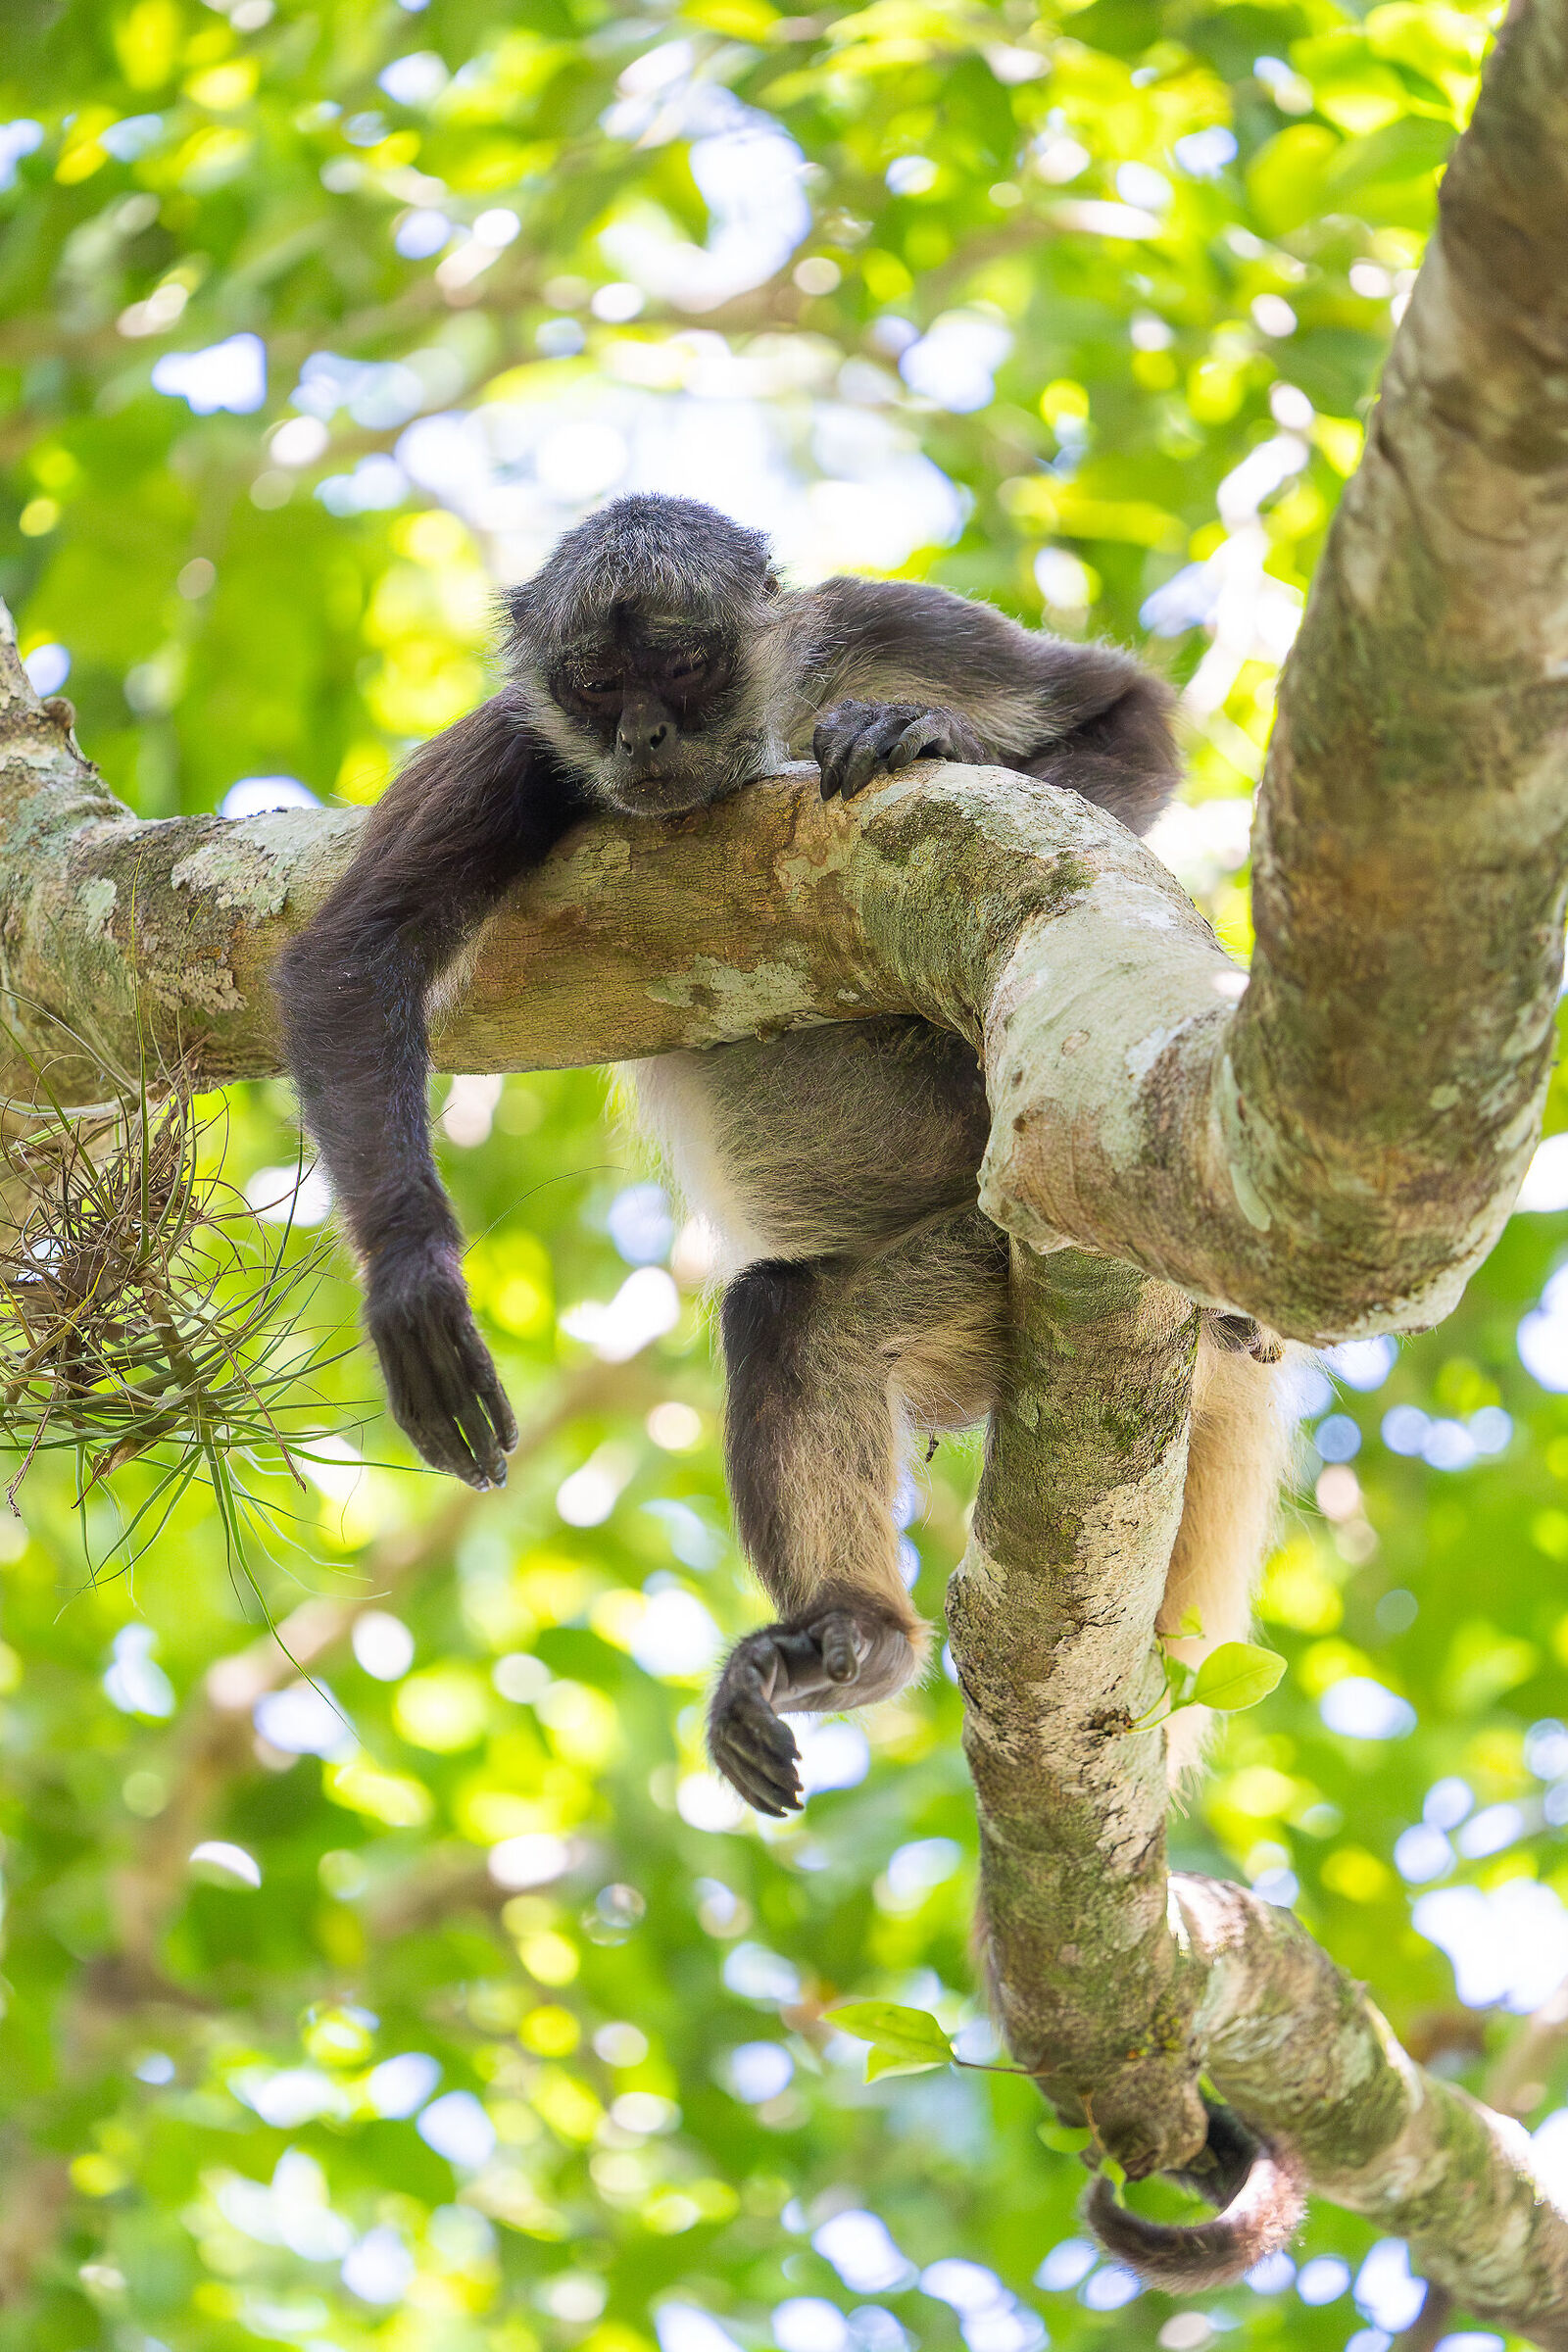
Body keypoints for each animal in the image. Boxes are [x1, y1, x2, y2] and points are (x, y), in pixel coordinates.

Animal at [276, 493, 1297, 2283]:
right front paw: (411, 1276)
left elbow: (1121, 713)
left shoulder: (869, 620)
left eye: (683, 666)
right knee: (785, 1318)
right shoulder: (519, 750)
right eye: (595, 684)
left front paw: (923, 735)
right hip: (963, 1304)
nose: (645, 744)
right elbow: (353, 958)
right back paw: (853, 1637)